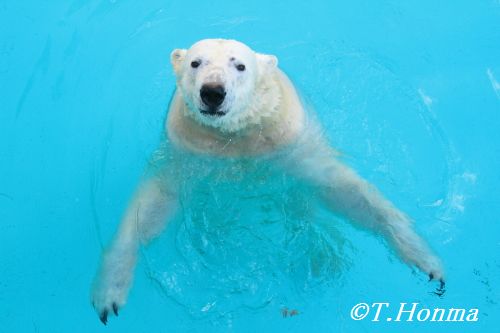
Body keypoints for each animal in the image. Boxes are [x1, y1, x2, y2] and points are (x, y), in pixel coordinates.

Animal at [91, 39, 446, 324]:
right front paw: (109, 293)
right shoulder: (189, 149)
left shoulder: (288, 142)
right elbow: (155, 204)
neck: (238, 136)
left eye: (240, 65)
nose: (213, 92)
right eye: (195, 62)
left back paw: (322, 257)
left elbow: (341, 190)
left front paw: (424, 260)